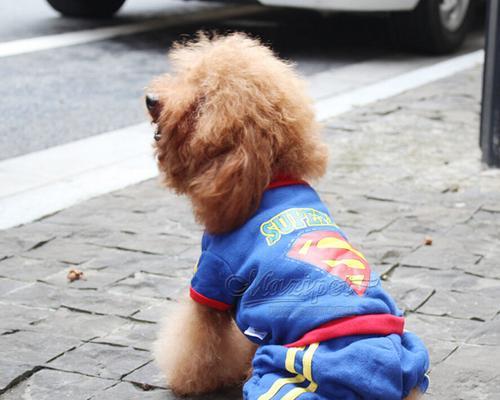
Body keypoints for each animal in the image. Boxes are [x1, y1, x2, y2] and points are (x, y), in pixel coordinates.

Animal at [146, 32, 430, 398]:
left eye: (202, 98)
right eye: (188, 77)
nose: (151, 99)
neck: (268, 177)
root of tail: (393, 368)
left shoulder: (212, 277)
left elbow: (196, 344)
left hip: (286, 374)